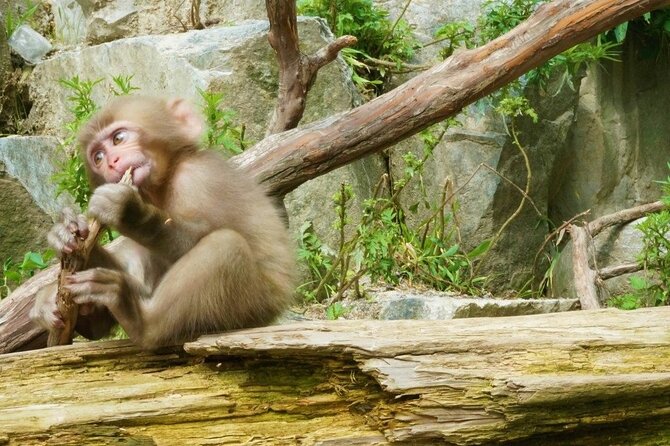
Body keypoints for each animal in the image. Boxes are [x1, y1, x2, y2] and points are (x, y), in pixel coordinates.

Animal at [30, 96, 297, 349]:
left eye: (118, 139)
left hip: (252, 307)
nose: (111, 161)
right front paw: (65, 233)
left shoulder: (196, 179)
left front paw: (128, 211)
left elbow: (194, 238)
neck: (166, 180)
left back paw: (139, 320)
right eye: (98, 157)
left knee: (225, 246)